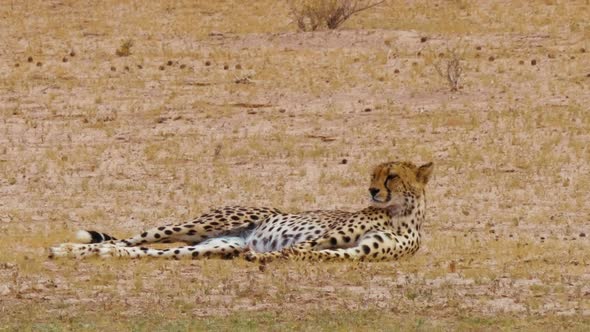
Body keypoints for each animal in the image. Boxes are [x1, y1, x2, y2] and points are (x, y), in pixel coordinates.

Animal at [49, 161, 434, 262]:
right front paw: (268, 257)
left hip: (213, 246)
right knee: (127, 240)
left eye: (392, 175)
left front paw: (267, 258)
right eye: (373, 175)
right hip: (199, 225)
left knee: (142, 251)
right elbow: (303, 247)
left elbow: (318, 254)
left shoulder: (358, 251)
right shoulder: (326, 236)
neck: (399, 212)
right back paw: (67, 248)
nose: (372, 190)